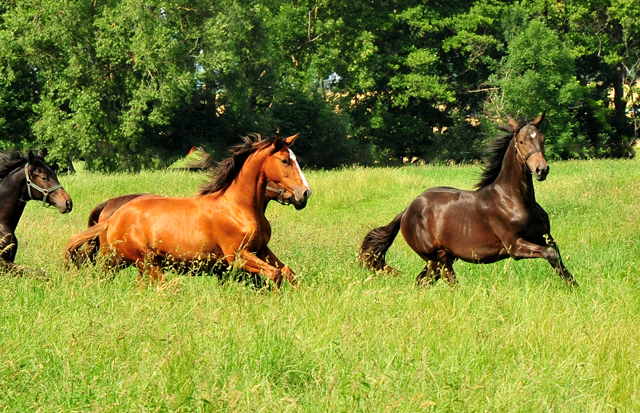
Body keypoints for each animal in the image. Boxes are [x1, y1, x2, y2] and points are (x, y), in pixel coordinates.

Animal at [65, 134, 312, 284]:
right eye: (285, 161)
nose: (304, 193)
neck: (238, 208)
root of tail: (114, 216)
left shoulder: (260, 250)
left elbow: (287, 272)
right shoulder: (237, 256)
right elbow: (275, 274)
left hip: (137, 264)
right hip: (138, 262)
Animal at [360, 112, 576, 286]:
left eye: (542, 138)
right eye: (521, 141)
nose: (541, 170)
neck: (515, 200)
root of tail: (405, 212)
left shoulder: (544, 237)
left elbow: (556, 255)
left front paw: (573, 286)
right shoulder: (514, 245)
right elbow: (549, 254)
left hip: (440, 259)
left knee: (422, 281)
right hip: (439, 258)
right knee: (449, 283)